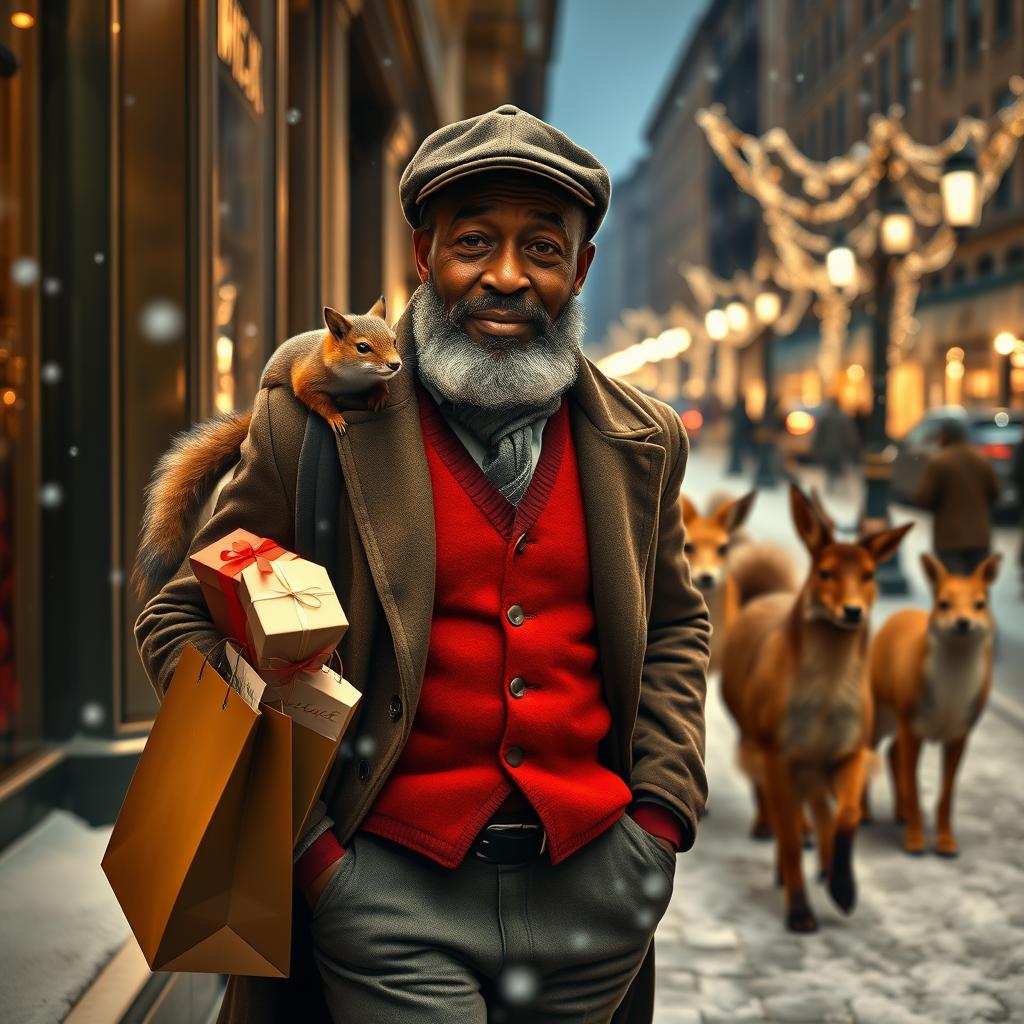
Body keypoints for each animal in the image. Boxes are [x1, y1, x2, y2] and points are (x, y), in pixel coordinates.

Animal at [129, 296, 399, 598]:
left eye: (394, 340)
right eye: (362, 347)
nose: (395, 365)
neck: (352, 378)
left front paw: (380, 394)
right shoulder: (306, 378)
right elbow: (315, 400)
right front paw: (335, 418)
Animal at [720, 483, 913, 933]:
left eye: (869, 575)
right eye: (825, 572)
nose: (853, 611)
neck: (824, 709)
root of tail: (764, 597)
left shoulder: (850, 749)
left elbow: (848, 816)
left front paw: (844, 888)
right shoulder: (778, 752)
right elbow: (789, 838)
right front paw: (800, 911)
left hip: (813, 765)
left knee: (820, 810)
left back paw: (824, 867)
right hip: (756, 740)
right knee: (775, 807)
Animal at [864, 552, 999, 856]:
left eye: (980, 604)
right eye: (944, 604)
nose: (963, 622)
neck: (949, 699)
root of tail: (899, 613)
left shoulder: (958, 734)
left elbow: (946, 795)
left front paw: (946, 842)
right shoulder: (913, 727)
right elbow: (914, 787)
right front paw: (915, 841)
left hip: (900, 723)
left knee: (892, 753)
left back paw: (900, 814)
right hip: (880, 718)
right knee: (868, 753)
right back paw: (864, 815)